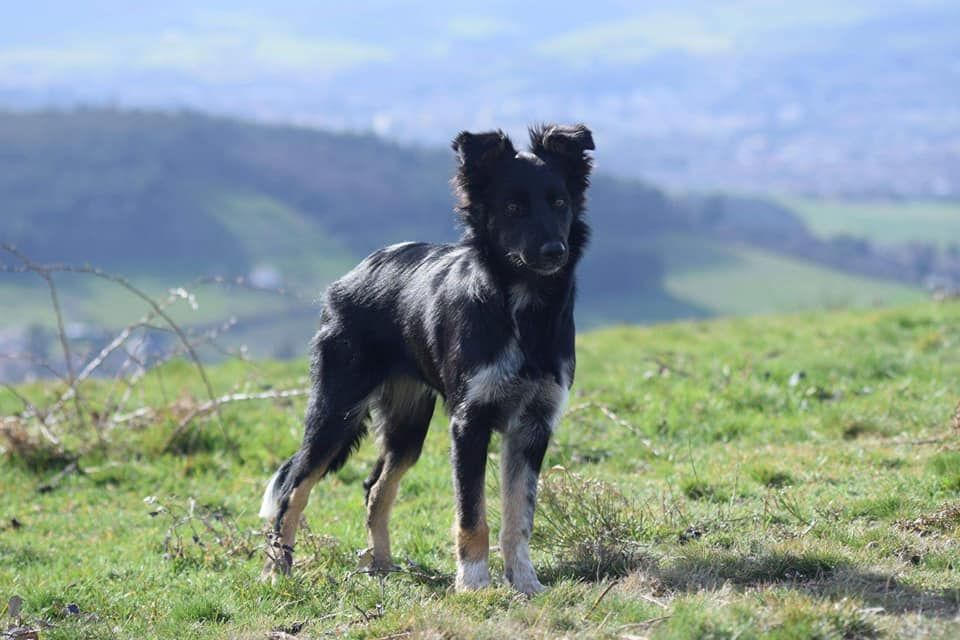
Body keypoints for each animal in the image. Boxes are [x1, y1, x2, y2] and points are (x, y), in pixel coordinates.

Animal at [258, 121, 596, 596]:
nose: (554, 251)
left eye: (560, 202)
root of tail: (349, 278)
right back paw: (277, 569)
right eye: (513, 207)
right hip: (335, 409)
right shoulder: (469, 422)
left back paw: (381, 566)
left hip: (408, 423)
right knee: (294, 488)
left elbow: (519, 517)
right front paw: (473, 584)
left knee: (375, 488)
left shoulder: (534, 423)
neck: (522, 307)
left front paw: (525, 583)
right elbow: (472, 515)